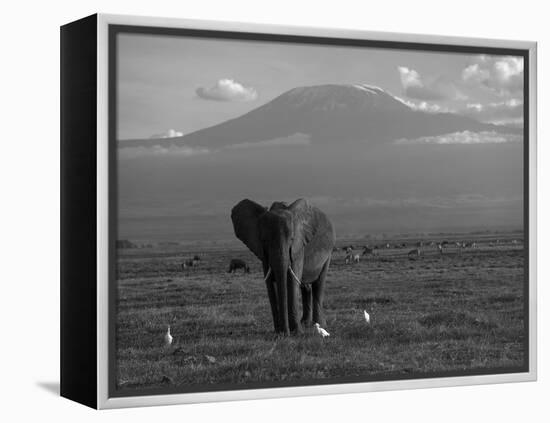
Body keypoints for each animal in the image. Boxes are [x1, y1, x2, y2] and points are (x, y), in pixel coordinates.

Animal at [230, 200, 334, 338]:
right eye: (264, 241)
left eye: (291, 239)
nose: (285, 333)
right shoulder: (264, 253)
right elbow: (270, 284)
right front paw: (279, 333)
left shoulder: (298, 247)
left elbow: (292, 281)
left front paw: (297, 333)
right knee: (306, 287)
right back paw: (306, 324)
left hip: (329, 252)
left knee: (319, 284)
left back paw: (319, 325)